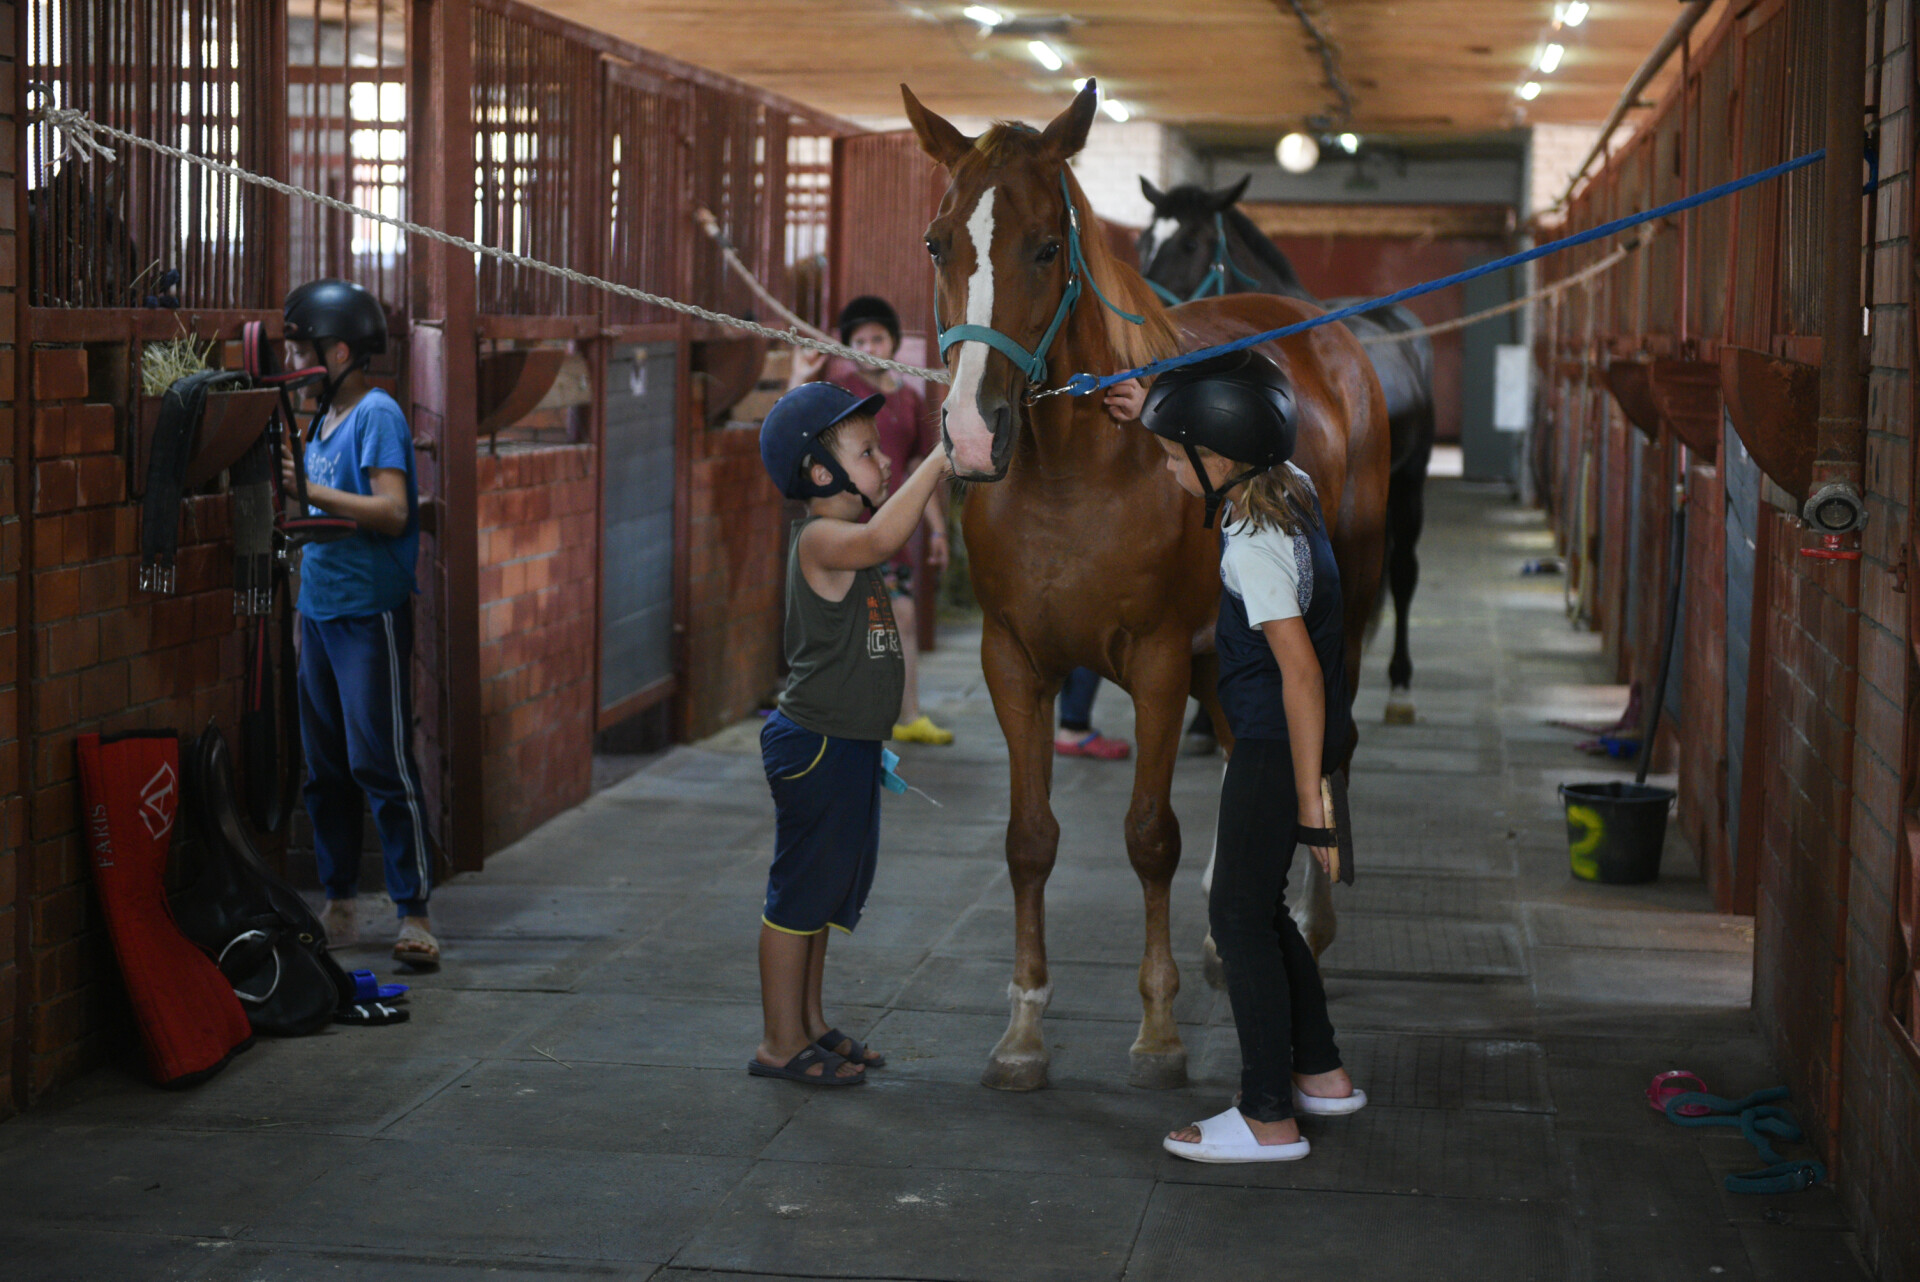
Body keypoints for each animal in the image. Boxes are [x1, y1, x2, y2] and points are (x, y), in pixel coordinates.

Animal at [906, 80, 1390, 1090]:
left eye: (1046, 246)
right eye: (938, 242)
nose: (970, 434)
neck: (1080, 472)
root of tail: (1326, 334)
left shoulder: (1162, 662)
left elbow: (1148, 836)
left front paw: (1159, 1032)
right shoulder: (1014, 663)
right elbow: (1029, 839)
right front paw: (1023, 1031)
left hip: (1343, 609)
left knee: (1327, 743)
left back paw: (1314, 918)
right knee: (1253, 745)